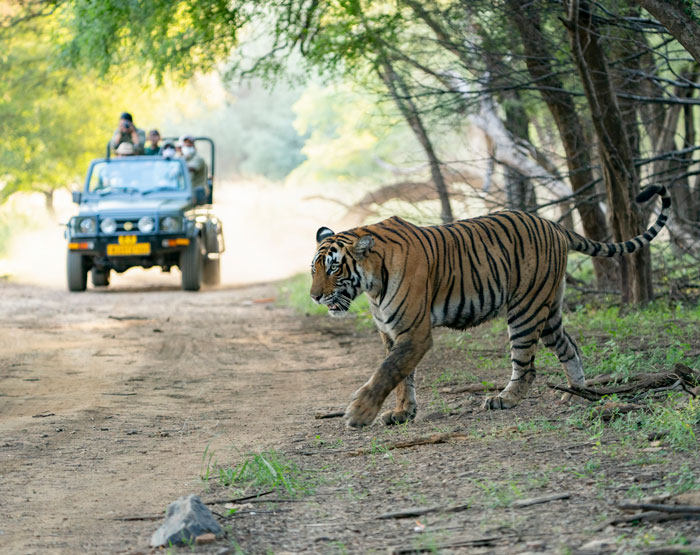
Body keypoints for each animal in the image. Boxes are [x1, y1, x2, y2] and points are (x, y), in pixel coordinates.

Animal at [310, 185, 671, 428]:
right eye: (314, 269)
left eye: (333, 268)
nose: (314, 296)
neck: (372, 283)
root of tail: (552, 224)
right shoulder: (391, 333)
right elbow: (401, 376)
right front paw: (402, 413)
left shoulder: (414, 332)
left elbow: (388, 371)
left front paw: (359, 413)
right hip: (549, 312)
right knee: (570, 347)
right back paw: (576, 393)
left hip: (525, 310)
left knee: (527, 366)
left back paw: (505, 399)